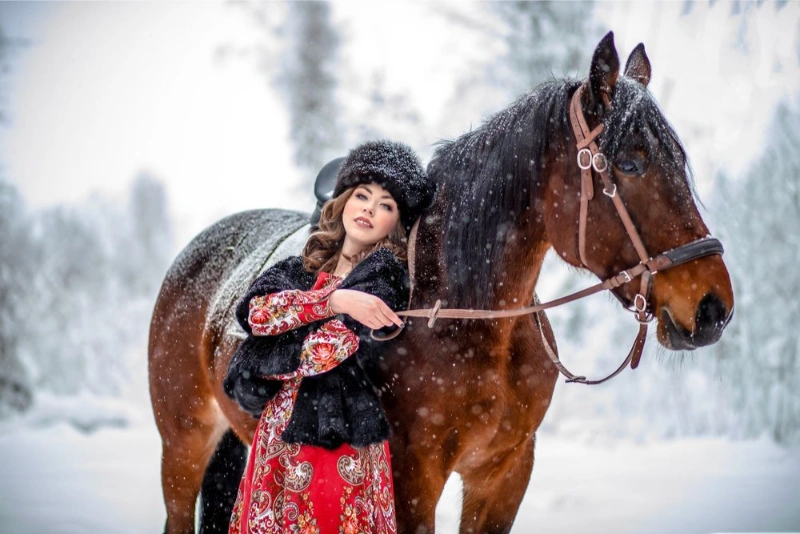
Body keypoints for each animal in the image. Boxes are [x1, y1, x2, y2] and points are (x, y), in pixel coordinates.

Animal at [147, 34, 736, 534]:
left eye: (678, 162)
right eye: (632, 164)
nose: (712, 307)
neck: (458, 315)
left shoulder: (504, 474)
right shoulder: (411, 479)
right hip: (182, 446)